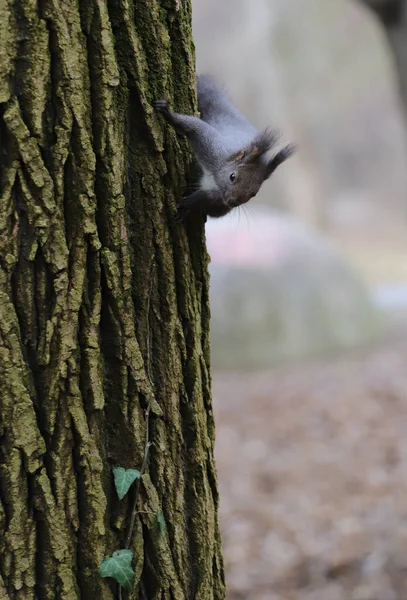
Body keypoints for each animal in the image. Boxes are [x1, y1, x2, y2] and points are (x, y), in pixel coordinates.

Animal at [155, 75, 294, 220]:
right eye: (232, 176)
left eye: (254, 193)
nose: (232, 202)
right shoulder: (213, 149)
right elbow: (194, 128)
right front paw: (168, 114)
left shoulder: (218, 198)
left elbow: (210, 199)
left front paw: (191, 203)